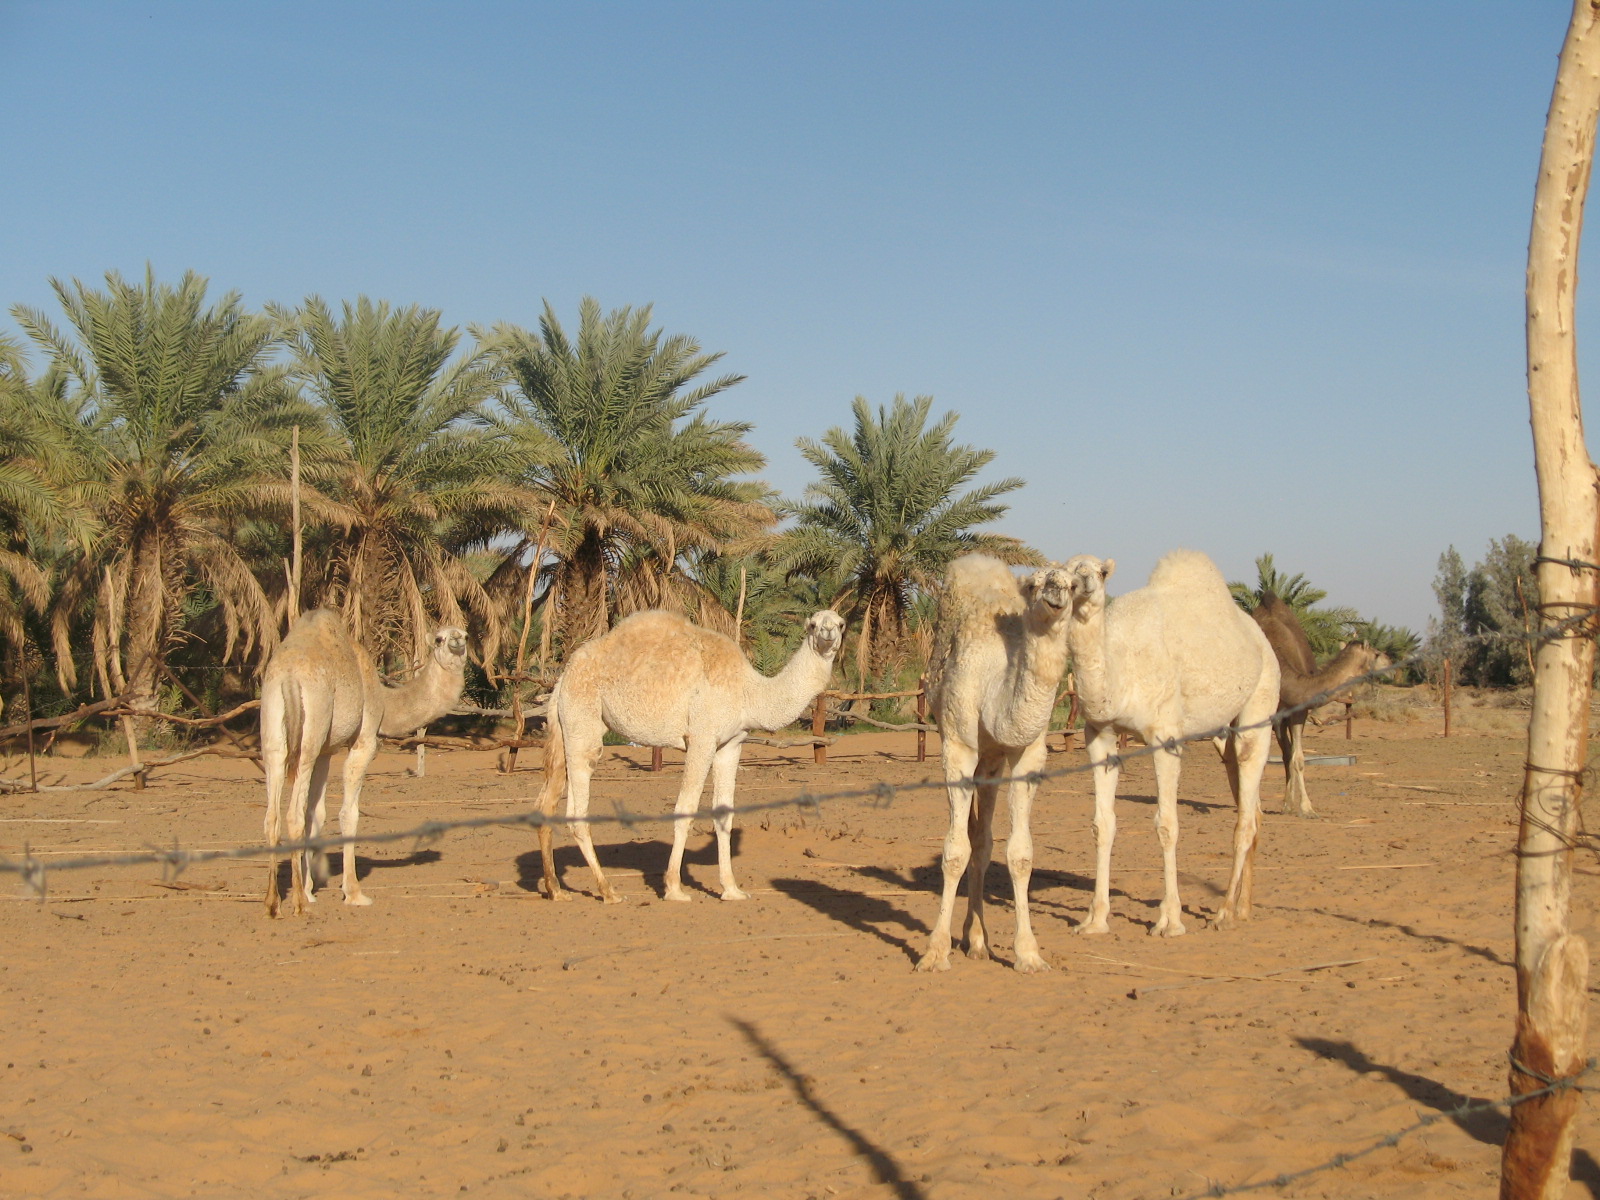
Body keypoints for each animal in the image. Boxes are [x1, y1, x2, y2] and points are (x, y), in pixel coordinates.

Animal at [260, 609, 469, 917]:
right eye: (440, 639)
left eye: (465, 634)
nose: (456, 641)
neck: (385, 702)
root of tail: (288, 676)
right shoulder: (364, 739)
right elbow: (348, 814)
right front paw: (353, 893)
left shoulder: (326, 750)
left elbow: (316, 814)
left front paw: (311, 890)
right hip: (312, 727)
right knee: (293, 814)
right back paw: (297, 904)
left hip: (274, 732)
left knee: (273, 814)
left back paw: (273, 902)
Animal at [535, 608, 845, 903]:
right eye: (813, 624)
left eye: (841, 623)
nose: (828, 633)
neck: (748, 692)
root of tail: (562, 680)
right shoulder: (701, 738)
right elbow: (685, 809)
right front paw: (674, 889)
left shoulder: (731, 744)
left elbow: (724, 814)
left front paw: (732, 890)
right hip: (582, 722)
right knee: (577, 810)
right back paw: (608, 892)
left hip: (567, 726)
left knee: (546, 803)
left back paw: (555, 889)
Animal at [914, 556, 1073, 975]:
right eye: (1034, 584)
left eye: (1074, 583)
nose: (1057, 591)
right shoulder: (957, 747)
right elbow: (954, 851)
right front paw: (934, 953)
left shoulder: (1026, 754)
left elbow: (1019, 853)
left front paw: (1028, 954)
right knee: (971, 840)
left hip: (990, 764)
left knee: (982, 842)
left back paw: (977, 940)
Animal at [1062, 550, 1279, 936]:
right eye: (1069, 572)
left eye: (1101, 572)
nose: (1083, 582)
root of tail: (1262, 643)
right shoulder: (1100, 735)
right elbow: (1102, 825)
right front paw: (1095, 920)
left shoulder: (1166, 735)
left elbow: (1166, 824)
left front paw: (1170, 921)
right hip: (1228, 731)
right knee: (1253, 809)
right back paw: (1244, 908)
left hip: (1260, 706)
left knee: (1245, 817)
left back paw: (1223, 912)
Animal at [1249, 592, 1386, 818]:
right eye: (1376, 654)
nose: (1390, 659)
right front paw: (1256, 807)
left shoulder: (1298, 712)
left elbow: (1298, 758)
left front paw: (1307, 809)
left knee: (1288, 753)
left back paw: (1287, 804)